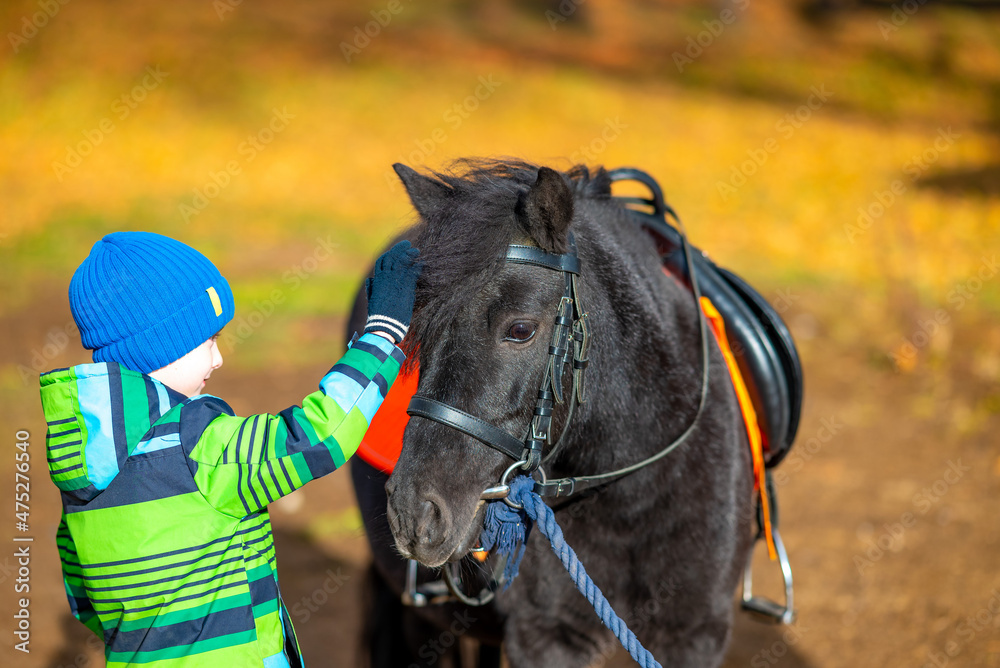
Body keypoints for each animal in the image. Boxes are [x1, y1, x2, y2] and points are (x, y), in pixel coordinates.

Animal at [347, 159, 757, 668]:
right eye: (417, 330)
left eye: (521, 329)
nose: (413, 512)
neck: (629, 494)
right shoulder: (547, 637)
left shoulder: (694, 633)